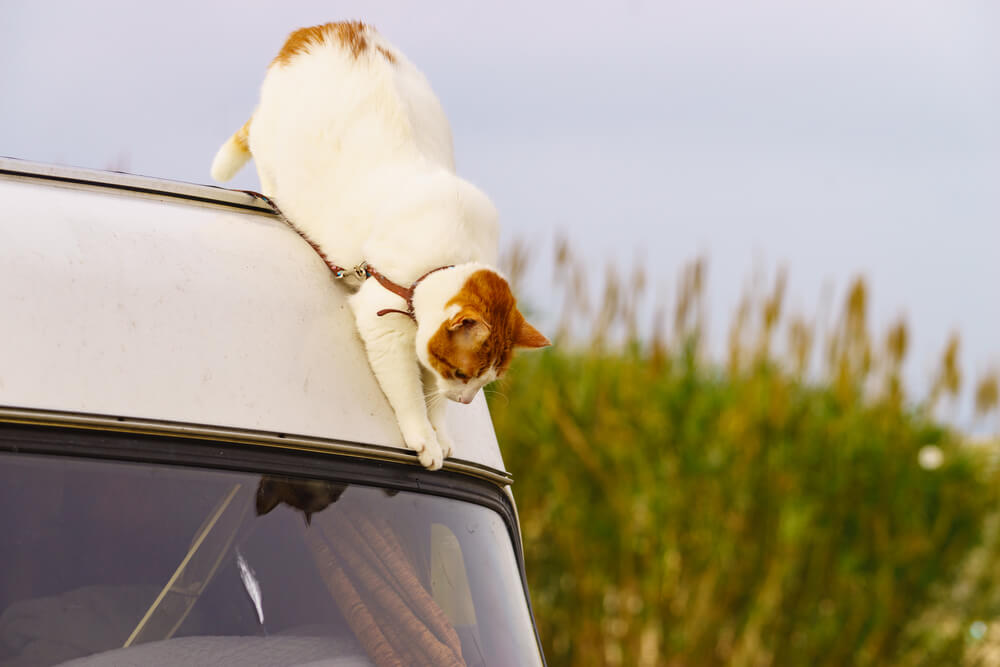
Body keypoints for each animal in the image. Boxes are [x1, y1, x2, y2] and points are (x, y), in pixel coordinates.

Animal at [212, 22, 552, 470]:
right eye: (463, 375)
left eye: (486, 380)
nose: (465, 401)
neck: (449, 256)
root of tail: (322, 28)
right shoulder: (383, 324)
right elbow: (409, 393)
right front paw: (424, 437)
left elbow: (431, 390)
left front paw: (442, 430)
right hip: (274, 153)